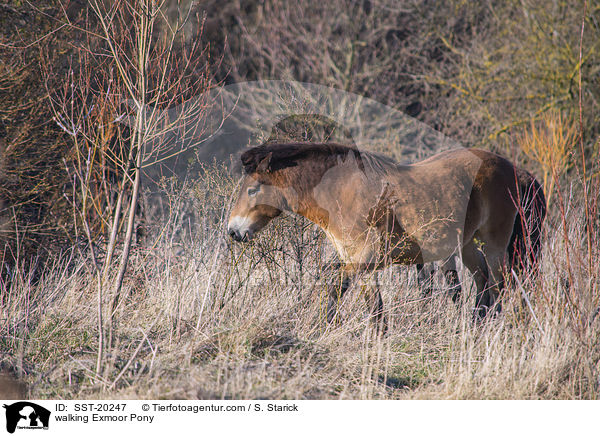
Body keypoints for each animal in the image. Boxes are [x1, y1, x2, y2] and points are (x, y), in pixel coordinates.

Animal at [227, 142, 548, 328]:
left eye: (253, 190)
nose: (233, 231)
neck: (341, 192)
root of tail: (516, 171)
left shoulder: (365, 260)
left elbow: (343, 292)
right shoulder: (357, 262)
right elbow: (367, 303)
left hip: (495, 244)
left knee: (498, 286)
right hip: (468, 244)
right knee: (482, 283)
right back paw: (473, 326)